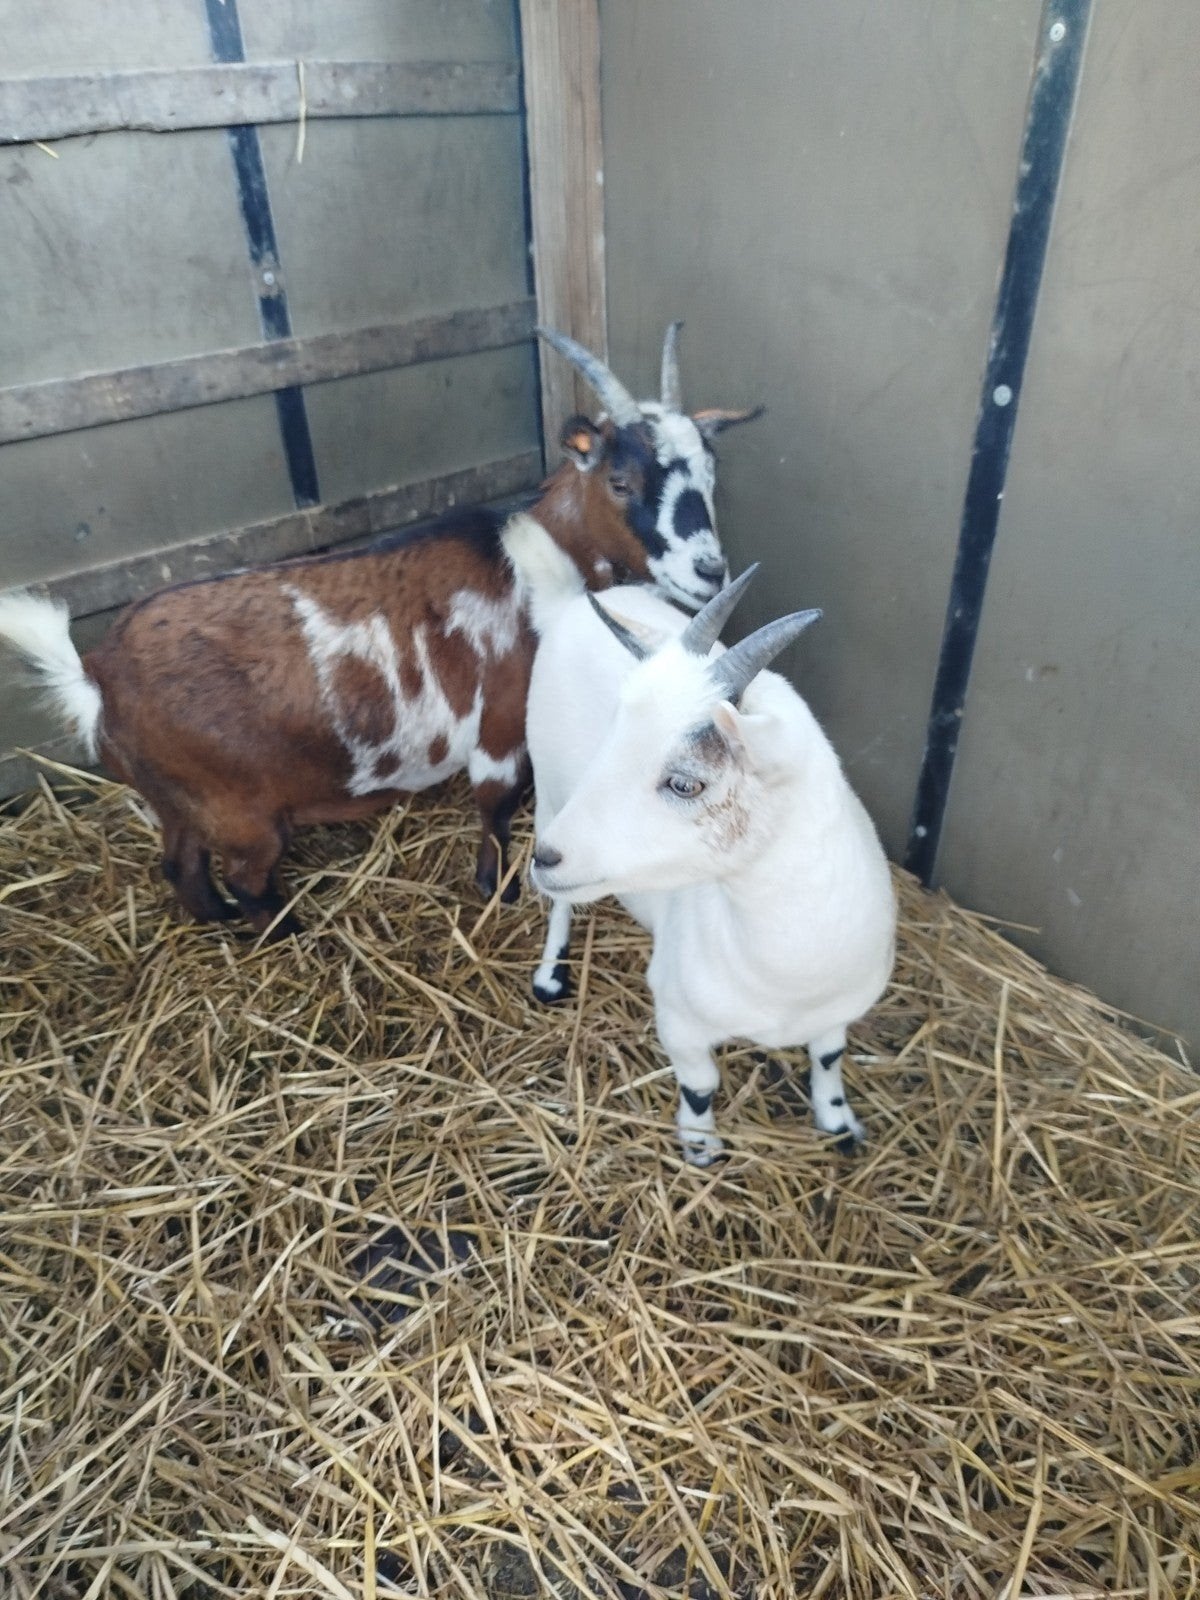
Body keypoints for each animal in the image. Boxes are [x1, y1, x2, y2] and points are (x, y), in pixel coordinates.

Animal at [0, 327, 761, 936]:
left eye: (711, 472)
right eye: (621, 480)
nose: (708, 570)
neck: (532, 560)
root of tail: (97, 674)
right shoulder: (500, 728)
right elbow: (496, 811)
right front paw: (496, 890)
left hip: (179, 804)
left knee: (181, 868)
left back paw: (220, 927)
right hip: (239, 813)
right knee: (246, 879)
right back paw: (287, 934)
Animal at [515, 553, 896, 1164]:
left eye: (685, 783)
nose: (550, 859)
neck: (786, 981)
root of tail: (569, 603)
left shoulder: (837, 1013)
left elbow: (828, 1058)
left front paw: (839, 1125)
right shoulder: (679, 1018)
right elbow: (700, 1084)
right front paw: (701, 1146)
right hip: (548, 790)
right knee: (559, 903)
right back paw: (551, 975)